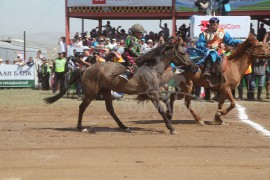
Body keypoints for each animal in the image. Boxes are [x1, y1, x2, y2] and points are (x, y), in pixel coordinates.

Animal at [43, 39, 192, 135]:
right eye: (183, 53)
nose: (193, 65)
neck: (152, 67)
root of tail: (86, 68)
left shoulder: (152, 92)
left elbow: (166, 100)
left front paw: (170, 115)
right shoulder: (151, 93)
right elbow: (161, 109)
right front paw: (171, 127)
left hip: (106, 91)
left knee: (110, 109)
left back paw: (124, 127)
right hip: (91, 93)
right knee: (82, 107)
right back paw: (81, 127)